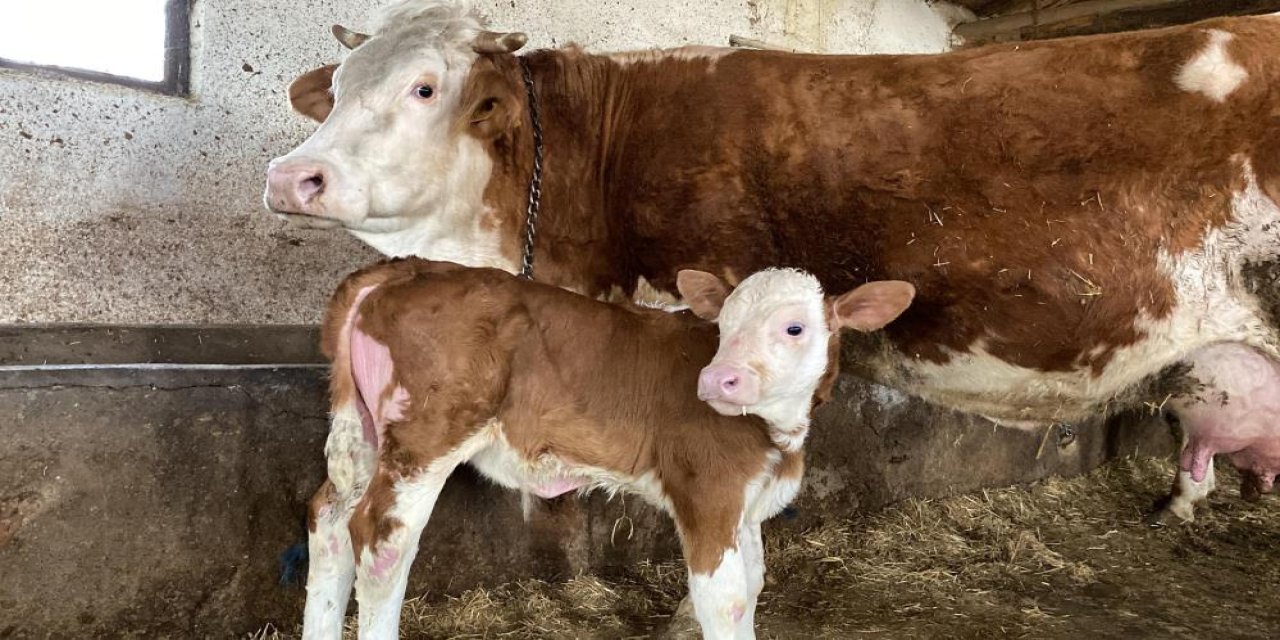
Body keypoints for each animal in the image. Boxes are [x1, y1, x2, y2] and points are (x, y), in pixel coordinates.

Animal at [304, 257, 916, 637]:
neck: (778, 436)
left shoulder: (743, 500)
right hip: (425, 435)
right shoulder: (706, 492)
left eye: (795, 328)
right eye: (724, 325)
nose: (716, 380)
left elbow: (754, 579)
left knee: (328, 521)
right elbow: (724, 599)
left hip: (362, 433)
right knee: (381, 542)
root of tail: (400, 270)